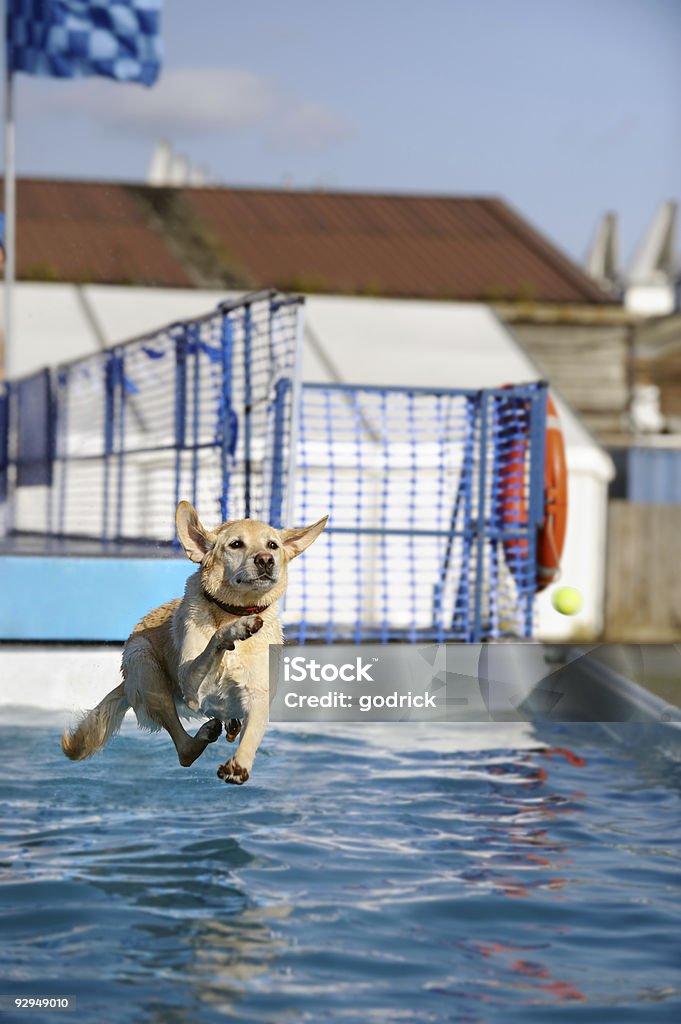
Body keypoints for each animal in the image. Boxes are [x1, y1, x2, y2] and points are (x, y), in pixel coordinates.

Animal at [62, 503, 327, 782]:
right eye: (236, 544)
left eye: (273, 545)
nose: (265, 559)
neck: (234, 611)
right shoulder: (192, 686)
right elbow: (213, 643)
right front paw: (235, 630)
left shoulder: (258, 694)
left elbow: (253, 731)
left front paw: (239, 764)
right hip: (144, 664)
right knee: (183, 750)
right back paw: (202, 736)